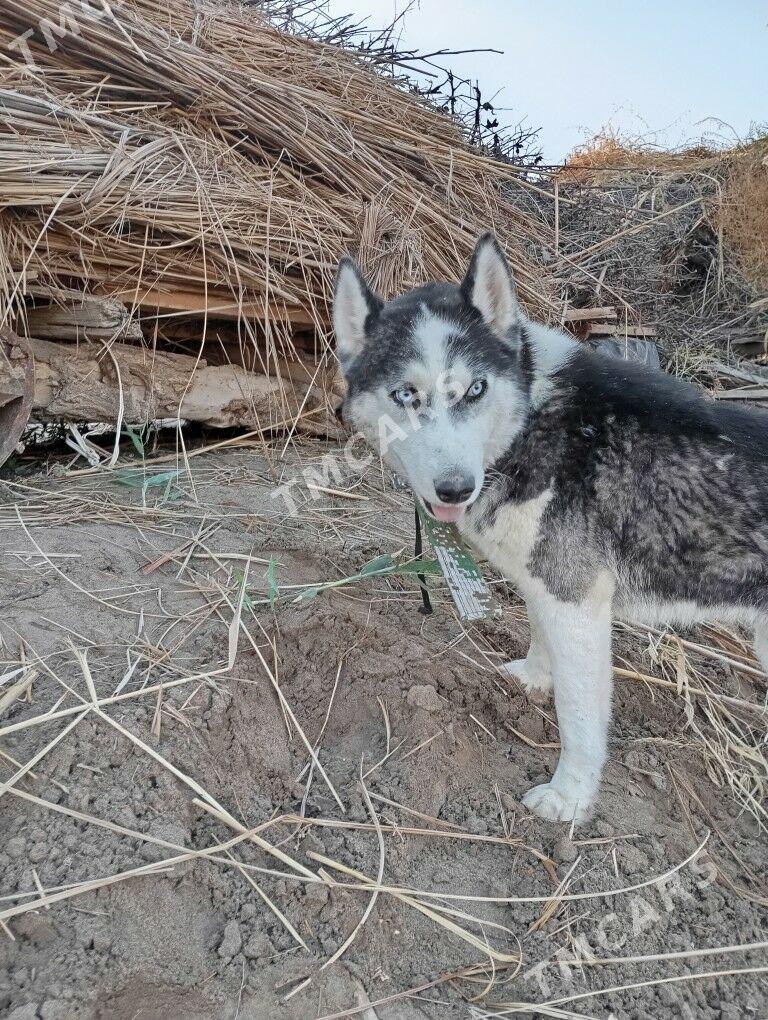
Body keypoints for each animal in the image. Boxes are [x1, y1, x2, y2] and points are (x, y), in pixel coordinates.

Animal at [332, 234, 766, 824]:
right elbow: (541, 639)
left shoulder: (576, 604)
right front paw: (537, 675)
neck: (531, 422)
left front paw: (570, 799)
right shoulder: (544, 586)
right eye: (405, 395)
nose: (455, 489)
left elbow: (579, 719)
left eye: (475, 388)